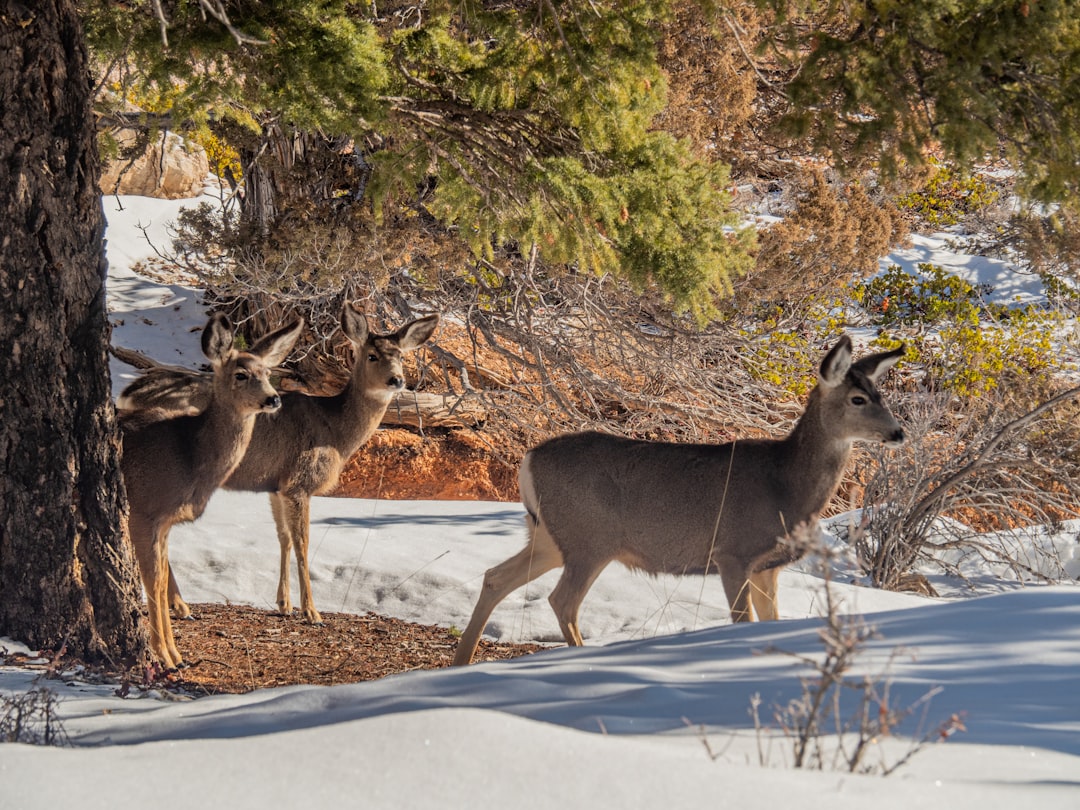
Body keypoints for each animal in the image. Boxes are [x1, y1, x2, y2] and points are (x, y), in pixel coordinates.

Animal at [119, 304, 438, 626]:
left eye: (401, 356)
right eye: (372, 356)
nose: (397, 380)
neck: (336, 431)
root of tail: (127, 395)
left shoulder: (276, 484)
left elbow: (283, 537)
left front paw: (284, 603)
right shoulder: (300, 481)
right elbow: (302, 542)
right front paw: (311, 611)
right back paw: (181, 606)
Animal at [119, 313, 302, 669]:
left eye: (267, 372)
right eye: (241, 374)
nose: (274, 398)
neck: (189, 456)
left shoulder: (165, 521)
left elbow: (160, 581)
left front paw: (176, 654)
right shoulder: (144, 510)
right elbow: (152, 581)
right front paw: (164, 655)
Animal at [451, 334, 907, 665]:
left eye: (881, 396)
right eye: (858, 399)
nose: (899, 432)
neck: (785, 485)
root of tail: (528, 459)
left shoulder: (768, 567)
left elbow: (770, 621)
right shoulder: (732, 552)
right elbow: (741, 620)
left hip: (549, 534)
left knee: (496, 577)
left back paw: (461, 660)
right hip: (589, 538)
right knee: (562, 601)